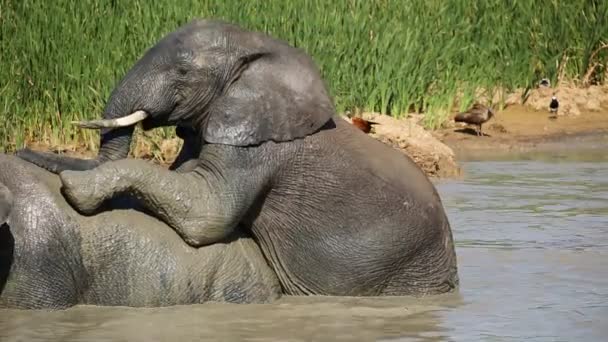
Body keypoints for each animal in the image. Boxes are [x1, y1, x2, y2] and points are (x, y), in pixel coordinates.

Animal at [16, 18, 458, 296]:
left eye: (182, 73)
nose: (24, 149)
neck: (258, 49)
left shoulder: (255, 149)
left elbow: (206, 213)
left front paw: (73, 184)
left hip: (409, 270)